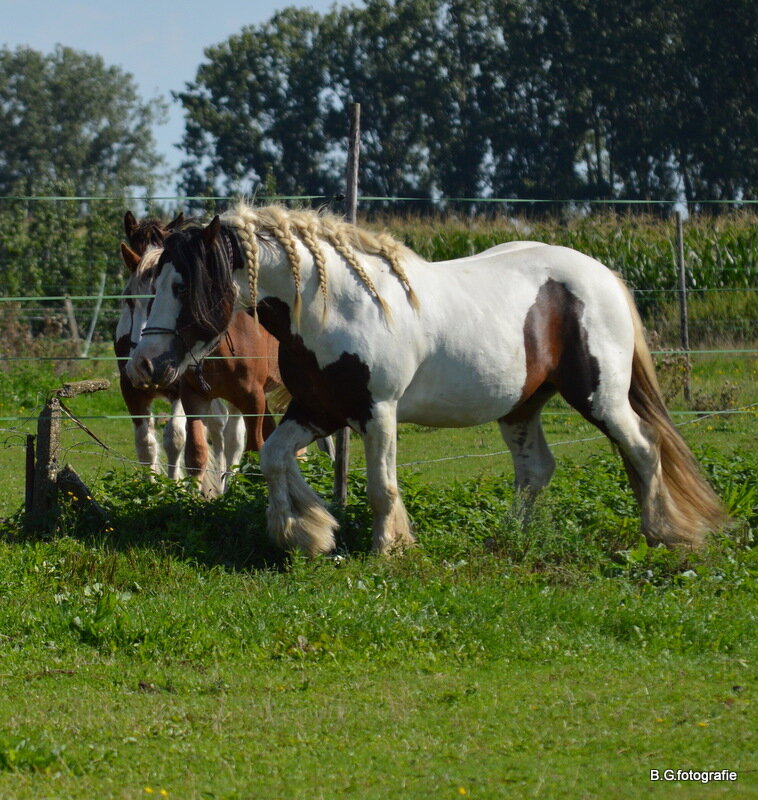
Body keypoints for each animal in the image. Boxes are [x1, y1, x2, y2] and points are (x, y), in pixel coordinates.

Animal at [126, 206, 732, 552]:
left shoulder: (378, 411)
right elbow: (274, 458)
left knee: (643, 447)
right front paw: (307, 530)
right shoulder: (319, 408)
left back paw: (660, 533)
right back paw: (508, 537)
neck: (332, 305)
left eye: (181, 286)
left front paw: (389, 546)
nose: (145, 366)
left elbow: (380, 485)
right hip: (522, 406)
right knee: (536, 470)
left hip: (598, 396)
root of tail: (601, 273)